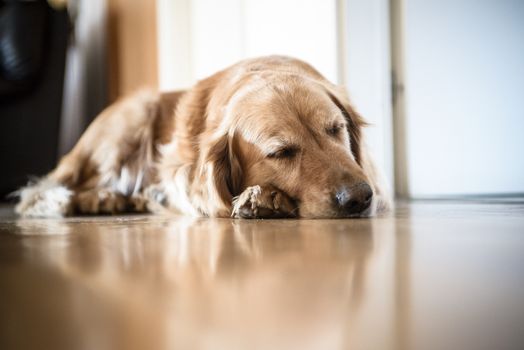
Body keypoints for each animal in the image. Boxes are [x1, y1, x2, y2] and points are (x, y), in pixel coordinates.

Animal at [15, 55, 388, 219]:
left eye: (336, 129)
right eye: (281, 153)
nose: (358, 198)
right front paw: (263, 197)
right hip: (133, 117)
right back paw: (104, 197)